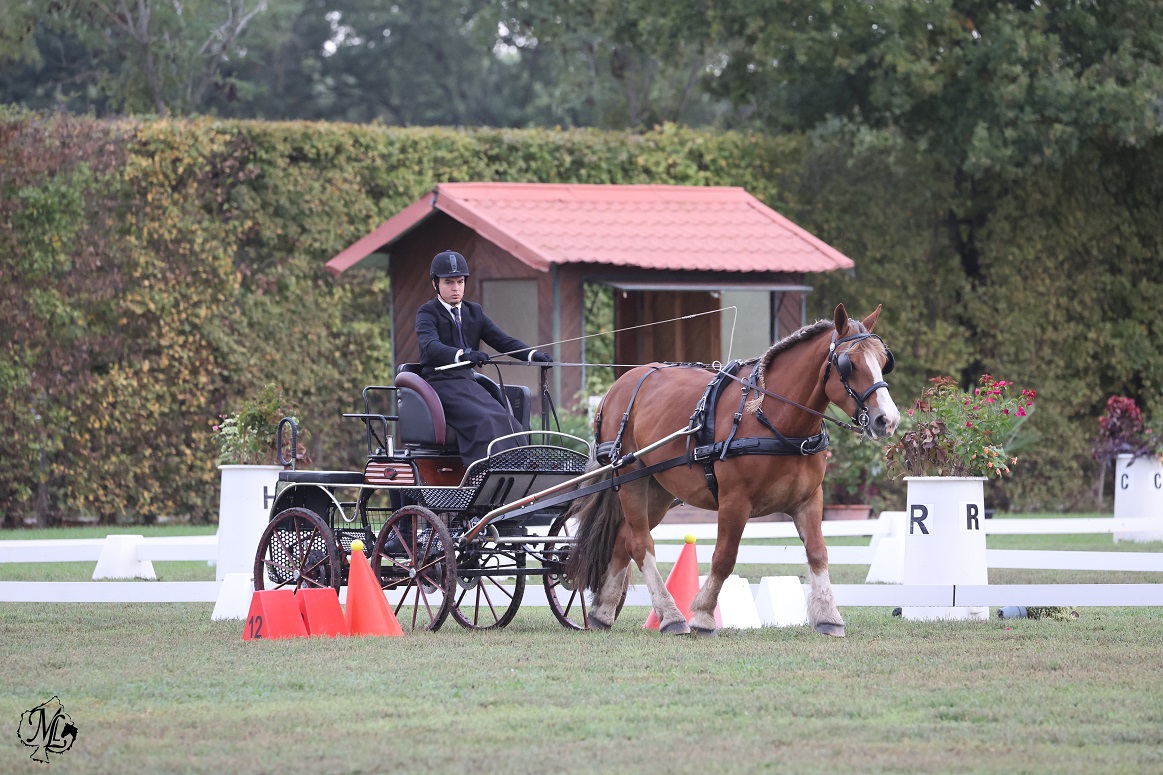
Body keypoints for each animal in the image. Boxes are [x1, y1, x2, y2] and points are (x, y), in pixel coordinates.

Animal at [564, 304, 900, 637]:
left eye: (884, 361)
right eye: (849, 364)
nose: (888, 419)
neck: (773, 418)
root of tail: (618, 385)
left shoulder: (809, 500)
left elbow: (818, 553)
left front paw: (829, 616)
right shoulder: (734, 501)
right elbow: (724, 557)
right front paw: (702, 616)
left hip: (657, 489)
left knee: (624, 538)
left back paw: (604, 612)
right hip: (631, 478)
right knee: (640, 543)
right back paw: (671, 616)